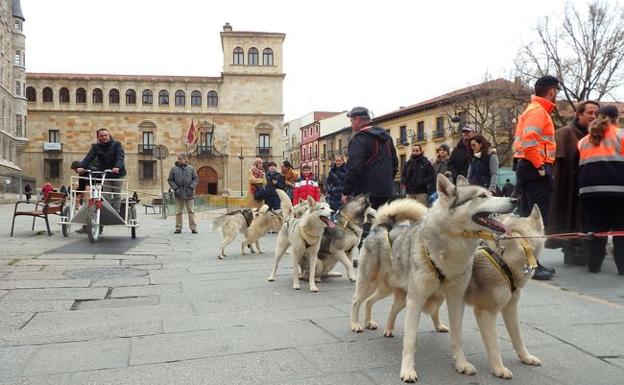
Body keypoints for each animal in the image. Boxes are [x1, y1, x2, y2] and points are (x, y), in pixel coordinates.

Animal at [464, 206, 544, 376]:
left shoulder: (510, 308)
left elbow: (518, 338)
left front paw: (526, 358)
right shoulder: (486, 312)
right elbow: (494, 345)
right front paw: (498, 368)